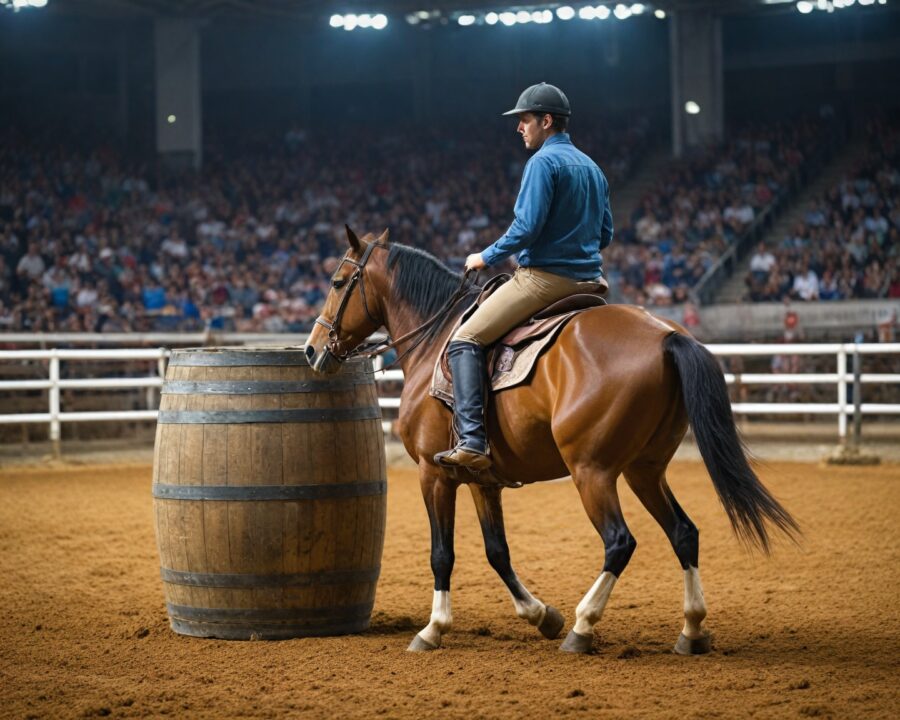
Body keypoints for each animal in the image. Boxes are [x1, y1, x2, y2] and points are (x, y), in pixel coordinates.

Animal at [305, 227, 799, 654]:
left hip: (592, 472)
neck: (435, 341)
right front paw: (540, 615)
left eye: (337, 281)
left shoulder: (434, 473)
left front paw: (433, 629)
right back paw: (691, 629)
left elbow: (442, 554)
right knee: (683, 532)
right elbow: (498, 552)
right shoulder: (481, 479)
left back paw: (583, 626)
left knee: (620, 541)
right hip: (644, 471)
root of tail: (667, 335)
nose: (311, 349)